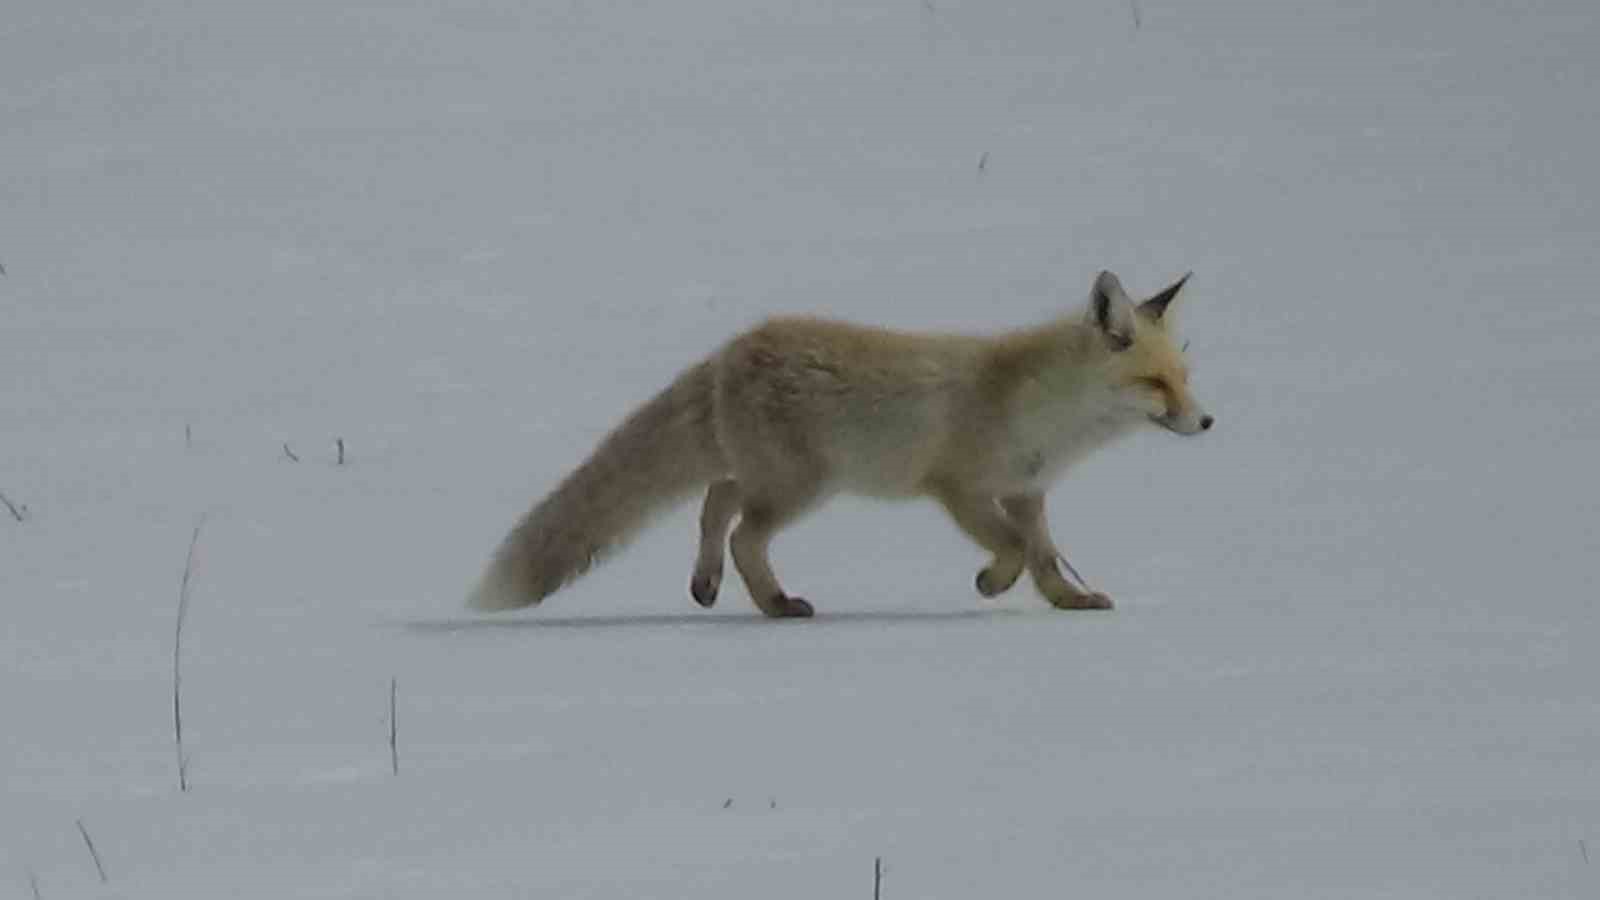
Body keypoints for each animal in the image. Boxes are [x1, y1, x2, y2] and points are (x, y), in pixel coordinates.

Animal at [467, 267, 1209, 614]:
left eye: (1184, 377)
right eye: (1153, 383)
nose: (1206, 424)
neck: (1043, 411)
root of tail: (731, 349)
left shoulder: (1027, 491)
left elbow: (1046, 557)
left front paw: (1069, 603)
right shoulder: (961, 489)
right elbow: (1015, 550)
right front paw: (991, 583)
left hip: (769, 475)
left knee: (715, 502)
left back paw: (708, 584)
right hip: (802, 488)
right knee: (742, 534)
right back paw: (775, 605)